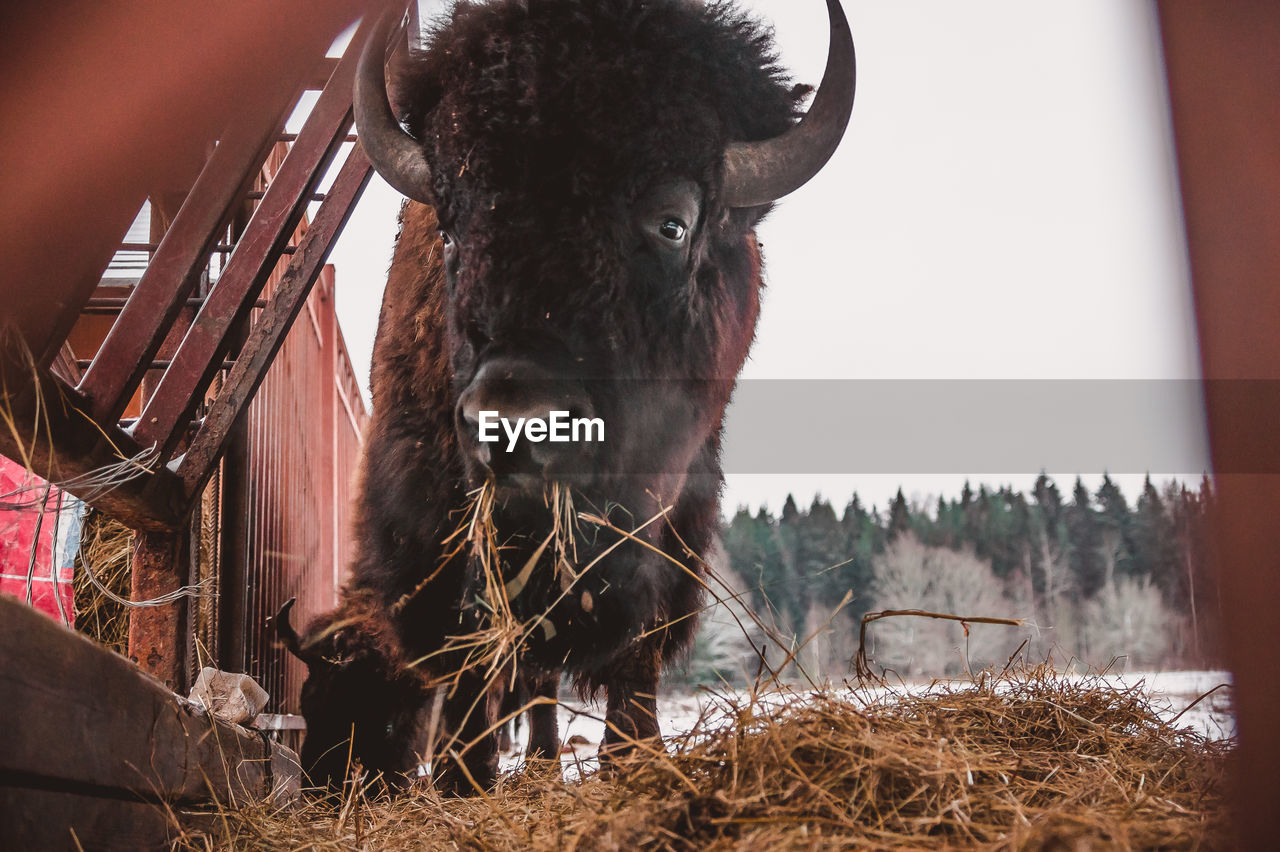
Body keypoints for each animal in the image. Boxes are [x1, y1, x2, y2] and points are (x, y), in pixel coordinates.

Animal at [282, 0, 860, 788]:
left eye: (673, 224)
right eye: (453, 233)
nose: (516, 424)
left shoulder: (675, 508)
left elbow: (635, 636)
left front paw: (634, 757)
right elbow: (476, 638)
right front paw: (466, 776)